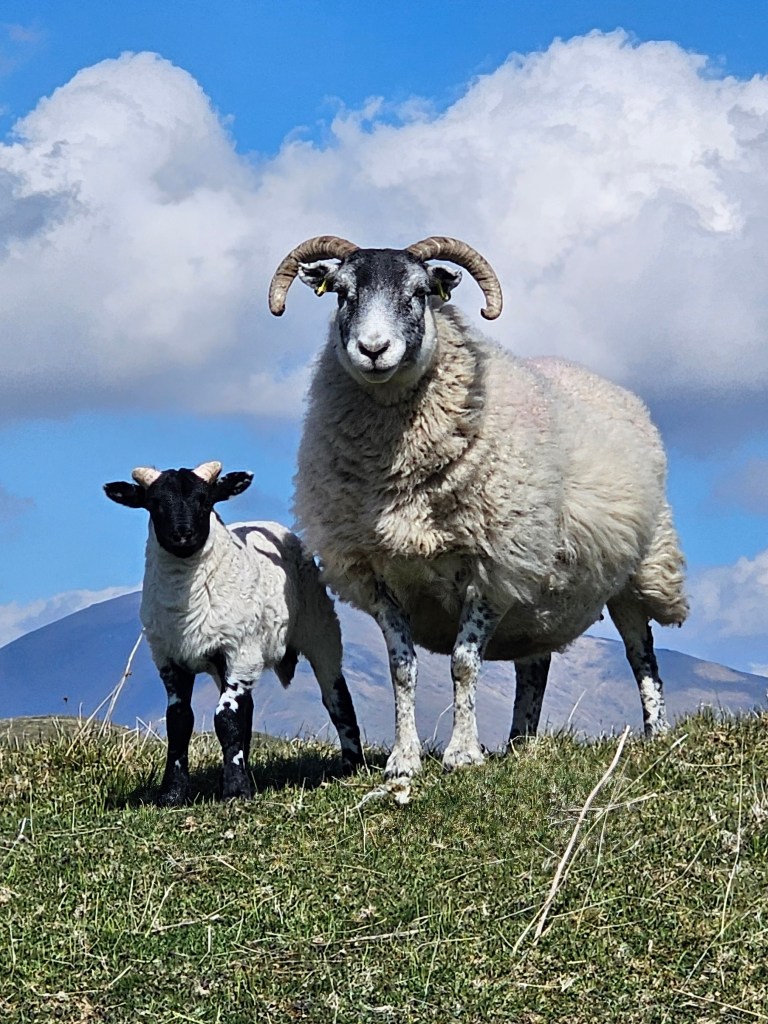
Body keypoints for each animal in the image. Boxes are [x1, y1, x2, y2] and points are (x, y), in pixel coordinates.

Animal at [104, 460, 364, 804]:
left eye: (205, 500)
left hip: (320, 631)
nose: (182, 535)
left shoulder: (238, 651)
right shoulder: (170, 660)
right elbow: (179, 722)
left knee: (337, 698)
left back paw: (352, 765)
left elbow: (226, 719)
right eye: (155, 503)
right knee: (248, 711)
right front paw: (172, 793)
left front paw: (236, 790)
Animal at [267, 235, 688, 781]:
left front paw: (462, 755)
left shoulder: (492, 565)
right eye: (341, 293)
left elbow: (463, 663)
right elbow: (401, 669)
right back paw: (520, 744)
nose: (374, 350)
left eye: (421, 293)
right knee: (535, 663)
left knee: (643, 654)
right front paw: (404, 761)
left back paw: (655, 734)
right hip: (541, 595)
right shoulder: (377, 576)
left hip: (639, 572)